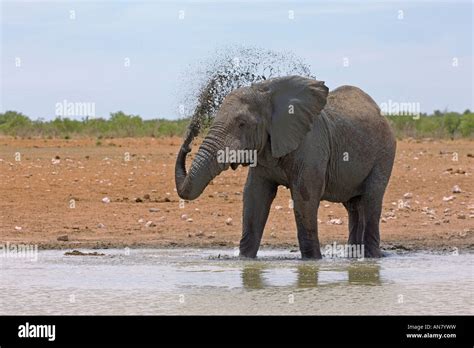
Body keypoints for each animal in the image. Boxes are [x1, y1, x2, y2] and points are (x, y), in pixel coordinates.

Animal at [174, 75, 396, 258]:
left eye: (242, 124)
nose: (188, 142)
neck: (266, 92)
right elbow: (254, 196)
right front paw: (245, 260)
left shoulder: (311, 145)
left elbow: (305, 198)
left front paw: (312, 262)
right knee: (354, 206)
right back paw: (354, 257)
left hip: (385, 153)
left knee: (371, 200)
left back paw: (372, 257)